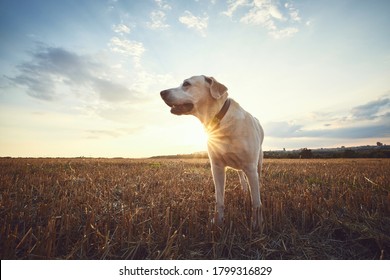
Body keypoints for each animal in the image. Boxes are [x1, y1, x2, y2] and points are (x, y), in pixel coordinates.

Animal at [159, 75, 266, 229]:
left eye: (186, 84)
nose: (162, 92)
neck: (221, 120)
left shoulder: (250, 167)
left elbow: (256, 202)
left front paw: (257, 223)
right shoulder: (217, 167)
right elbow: (219, 200)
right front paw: (218, 222)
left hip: (258, 162)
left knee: (257, 180)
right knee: (241, 177)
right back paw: (245, 190)